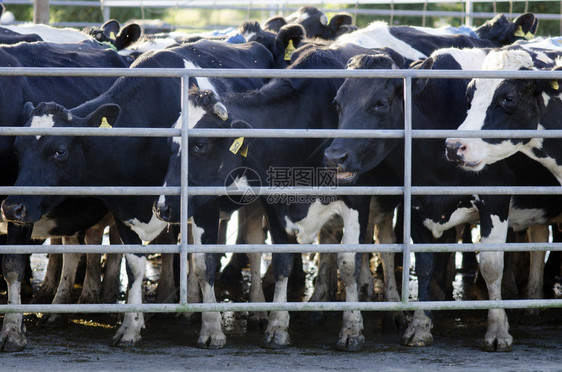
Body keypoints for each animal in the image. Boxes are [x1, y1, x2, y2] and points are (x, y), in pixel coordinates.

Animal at [0, 40, 276, 348]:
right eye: (18, 150)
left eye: (59, 151)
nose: (12, 208)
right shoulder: (124, 207)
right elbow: (134, 266)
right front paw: (130, 326)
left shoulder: (204, 205)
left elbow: (205, 264)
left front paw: (213, 328)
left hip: (253, 201)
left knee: (254, 245)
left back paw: (257, 311)